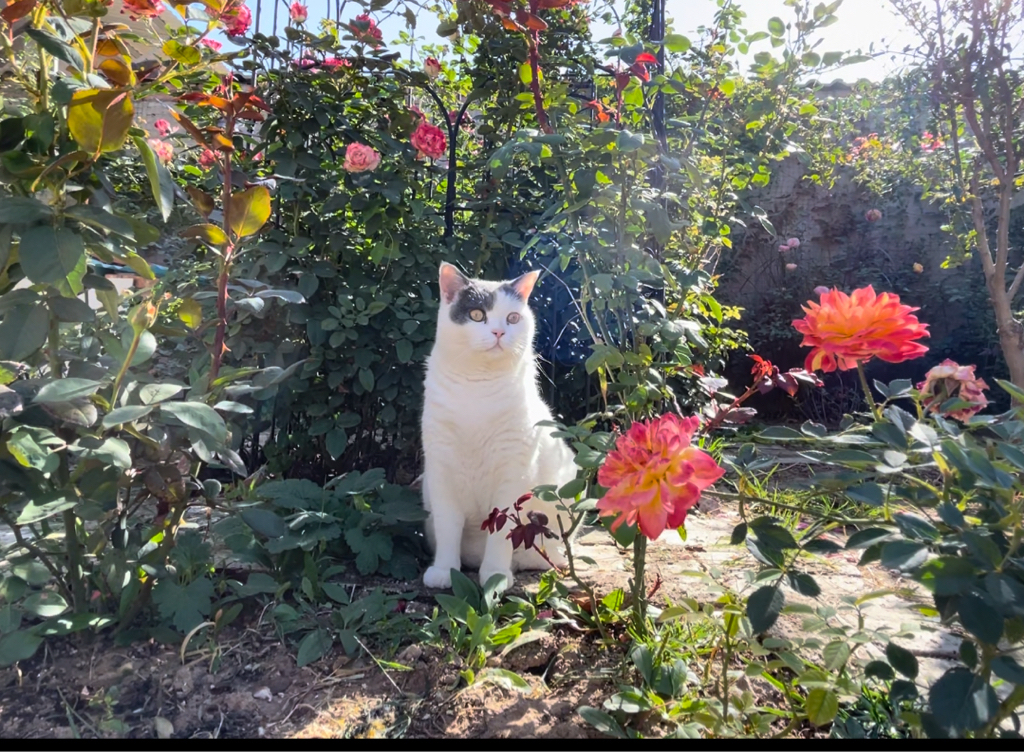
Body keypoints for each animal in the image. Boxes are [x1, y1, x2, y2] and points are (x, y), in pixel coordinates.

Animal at [420, 262, 577, 590]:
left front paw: (495, 576)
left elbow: (502, 531)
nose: (499, 331)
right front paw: (444, 571)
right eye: (477, 314)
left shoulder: (512, 471)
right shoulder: (441, 469)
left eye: (513, 318)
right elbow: (448, 525)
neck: (478, 387)